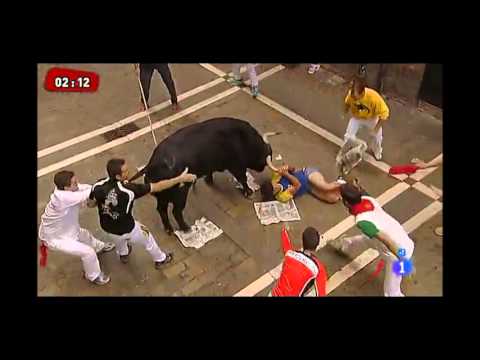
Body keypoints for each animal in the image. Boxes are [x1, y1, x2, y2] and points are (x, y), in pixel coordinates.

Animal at [127, 118, 280, 235]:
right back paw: (185, 228)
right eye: (262, 156)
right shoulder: (236, 165)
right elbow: (242, 178)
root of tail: (152, 164)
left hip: (163, 197)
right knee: (176, 211)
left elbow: (210, 172)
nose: (262, 167)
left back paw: (169, 229)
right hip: (180, 195)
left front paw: (209, 181)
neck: (242, 139)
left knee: (162, 210)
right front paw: (248, 191)